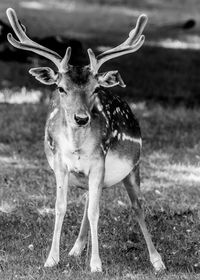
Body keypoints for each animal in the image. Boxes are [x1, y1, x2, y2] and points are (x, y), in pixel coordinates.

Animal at [6, 7, 166, 274]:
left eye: (95, 89)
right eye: (61, 88)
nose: (81, 118)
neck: (77, 148)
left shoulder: (99, 160)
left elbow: (95, 212)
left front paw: (96, 264)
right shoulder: (60, 163)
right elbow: (61, 207)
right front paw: (51, 259)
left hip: (133, 167)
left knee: (137, 206)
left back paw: (157, 260)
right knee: (91, 199)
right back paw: (76, 248)